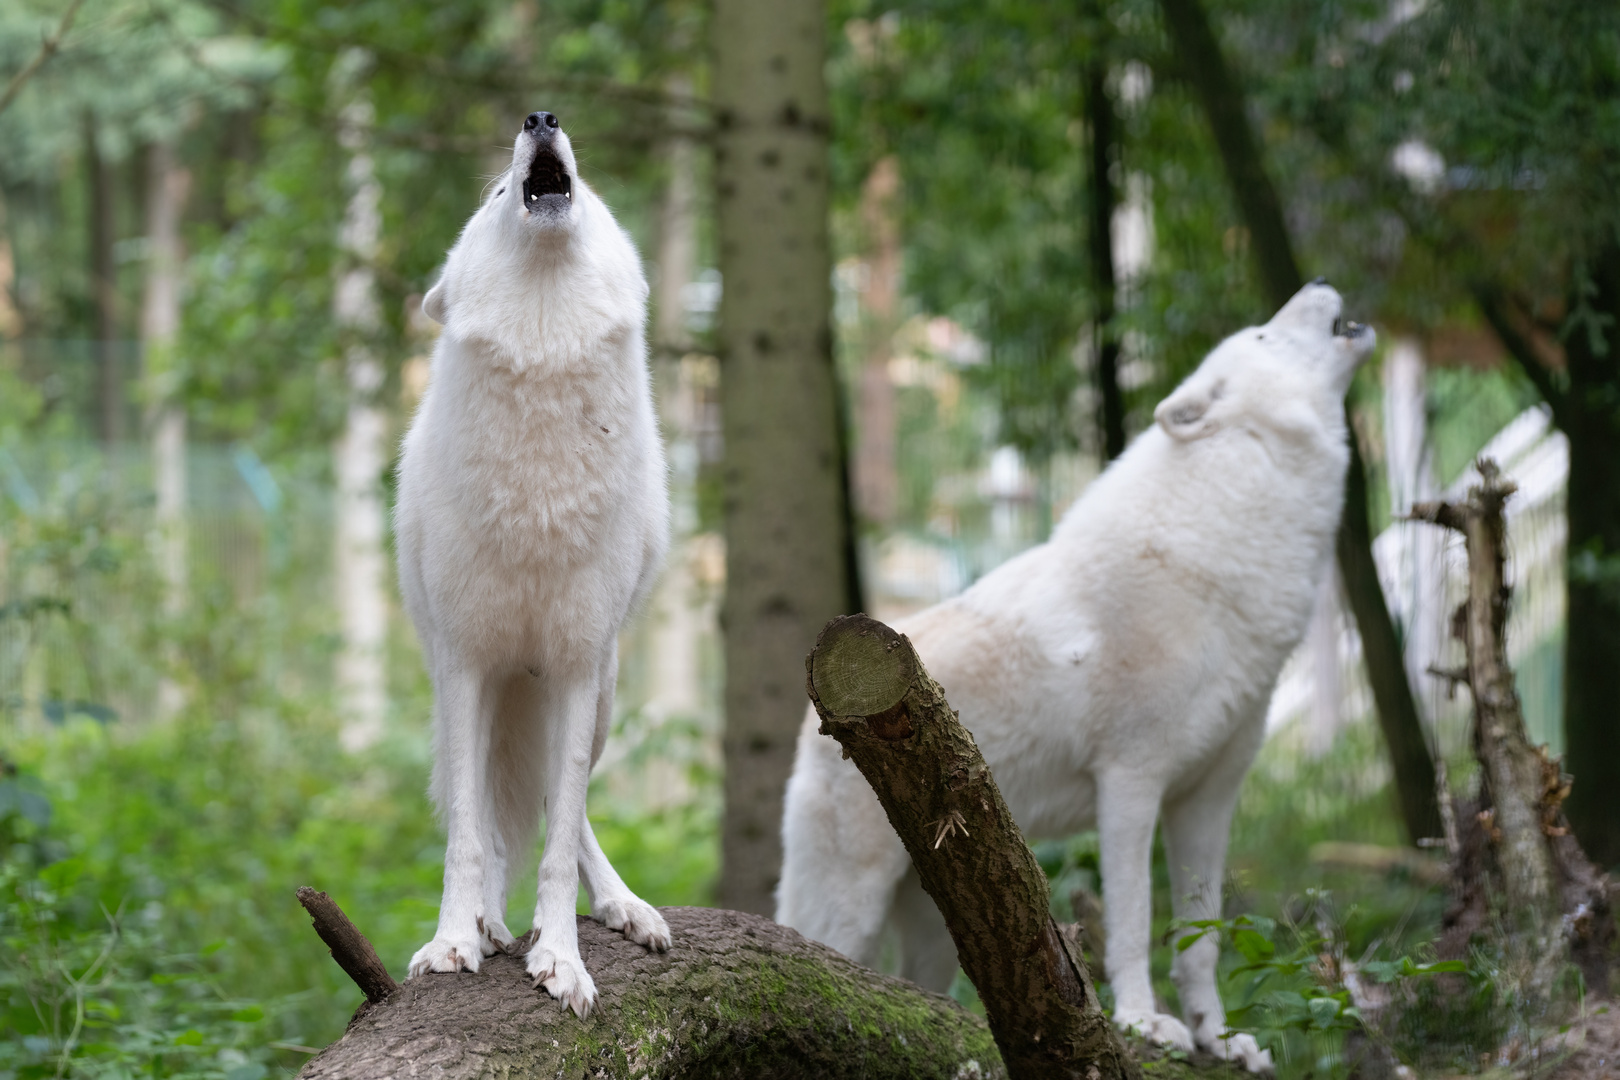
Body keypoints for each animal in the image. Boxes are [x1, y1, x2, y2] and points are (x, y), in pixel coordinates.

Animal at [393, 114, 670, 1016]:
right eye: (490, 193)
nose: (541, 119)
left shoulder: (577, 665)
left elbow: (555, 835)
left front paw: (562, 958)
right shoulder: (467, 664)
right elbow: (467, 836)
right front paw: (454, 940)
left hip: (596, 694)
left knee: (563, 809)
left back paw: (623, 905)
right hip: (476, 692)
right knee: (483, 803)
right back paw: (484, 922)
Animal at [777, 281, 1373, 1075]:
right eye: (1262, 337)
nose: (1315, 286)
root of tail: (813, 722)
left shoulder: (1209, 799)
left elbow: (1201, 940)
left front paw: (1217, 1039)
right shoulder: (1130, 780)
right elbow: (1135, 921)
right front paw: (1148, 1024)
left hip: (939, 918)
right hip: (850, 905)